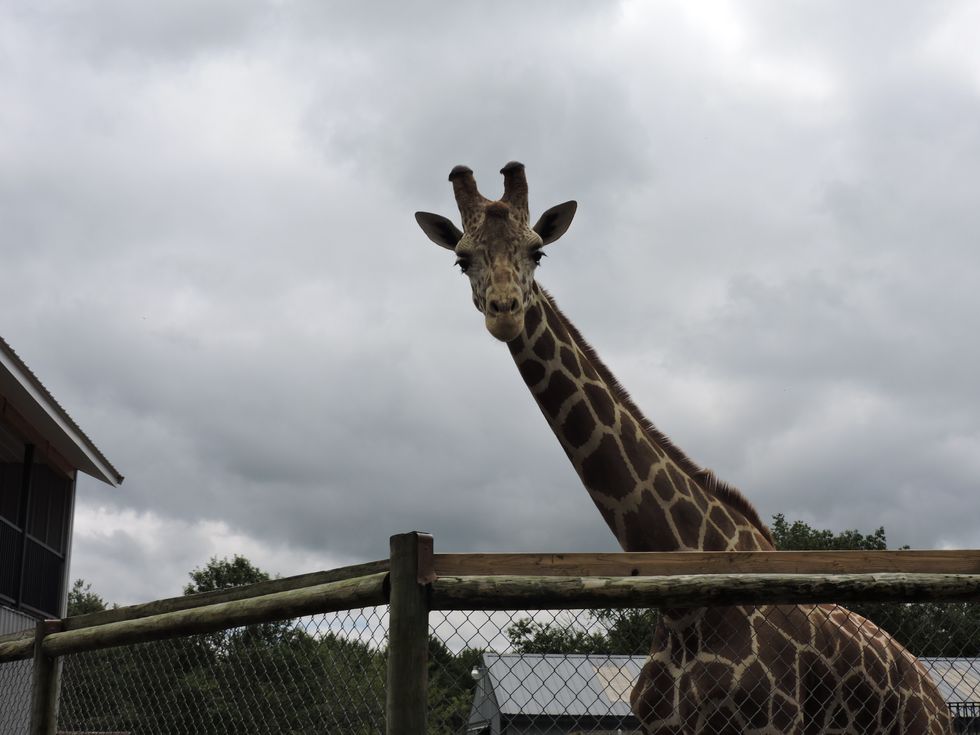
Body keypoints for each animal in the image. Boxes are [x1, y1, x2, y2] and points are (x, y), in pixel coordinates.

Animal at [418, 162, 952, 735]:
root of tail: (935, 693)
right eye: (462, 259)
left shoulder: (769, 724)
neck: (683, 612)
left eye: (537, 252)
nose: (504, 311)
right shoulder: (660, 725)